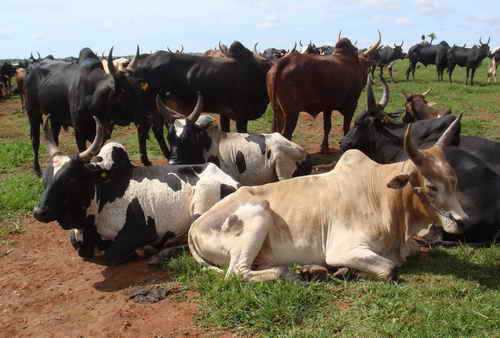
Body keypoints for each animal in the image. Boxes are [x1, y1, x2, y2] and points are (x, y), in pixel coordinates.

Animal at [33, 117, 240, 266]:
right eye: (45, 179)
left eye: (71, 179)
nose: (39, 212)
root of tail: (233, 182)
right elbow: (77, 245)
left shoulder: (142, 232)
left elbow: (112, 254)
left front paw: (140, 251)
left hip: (201, 208)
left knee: (190, 239)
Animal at [188, 117, 468, 282]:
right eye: (431, 186)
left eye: (455, 180)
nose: (463, 221)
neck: (384, 195)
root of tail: (194, 227)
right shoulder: (343, 249)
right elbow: (390, 268)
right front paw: (345, 270)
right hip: (258, 214)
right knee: (237, 273)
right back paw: (290, 271)